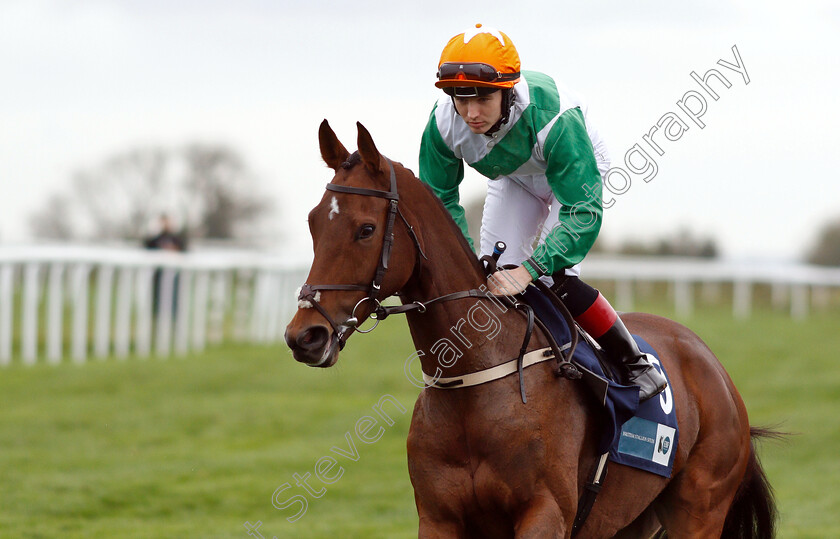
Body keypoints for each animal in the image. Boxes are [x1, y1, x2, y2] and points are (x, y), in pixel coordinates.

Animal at [286, 122, 776, 539]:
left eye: (366, 229)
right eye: (312, 222)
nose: (304, 336)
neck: (476, 382)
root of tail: (715, 368)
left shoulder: (546, 514)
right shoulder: (439, 518)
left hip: (700, 508)